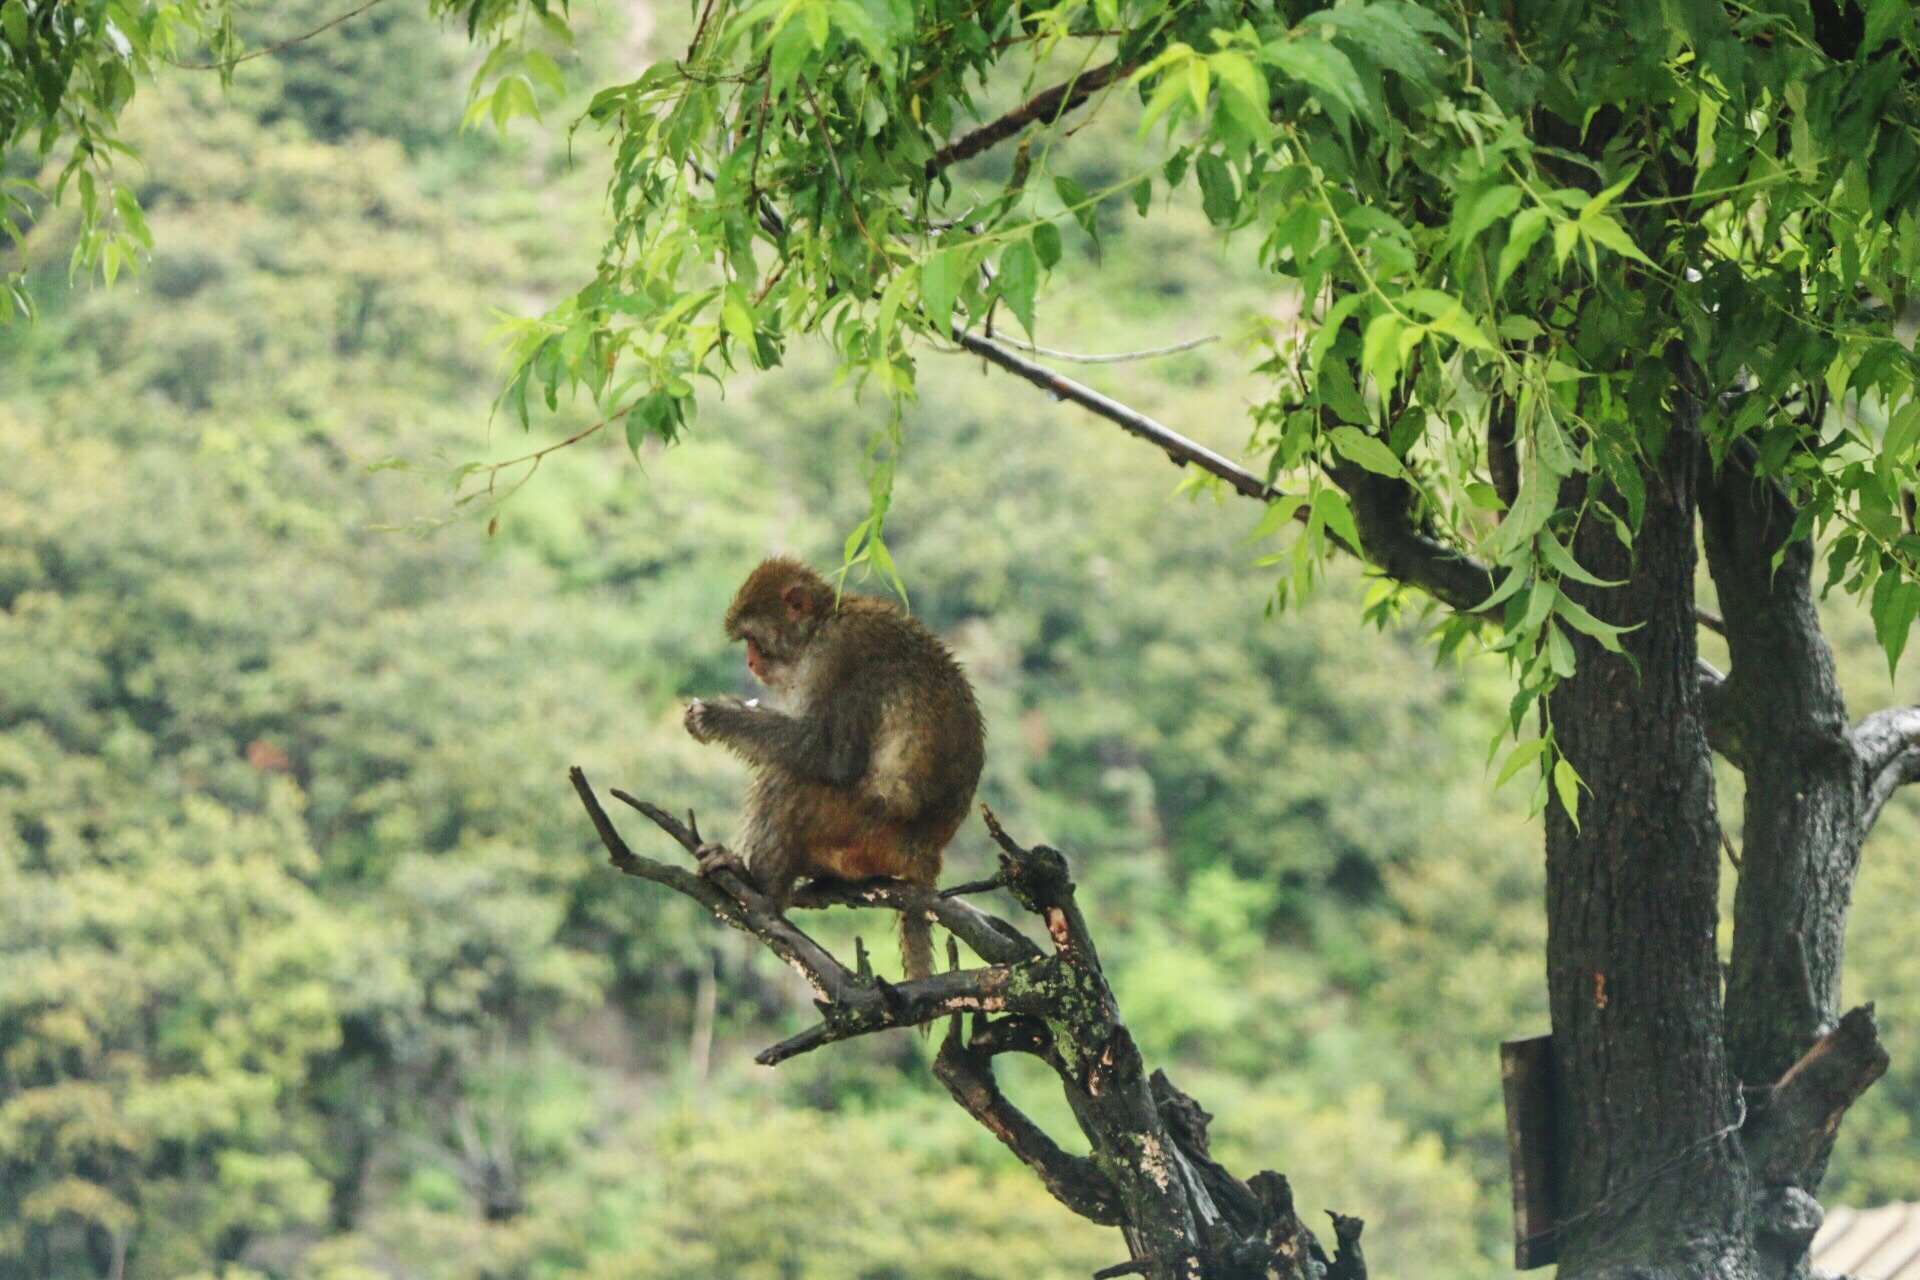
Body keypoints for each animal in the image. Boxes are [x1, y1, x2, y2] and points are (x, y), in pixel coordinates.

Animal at [683, 556, 983, 990]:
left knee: (790, 781)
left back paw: (761, 891)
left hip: (868, 834)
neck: (822, 624)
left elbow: (829, 754)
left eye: (754, 641)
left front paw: (715, 716)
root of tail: (928, 850)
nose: (750, 662)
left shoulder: (838, 654)